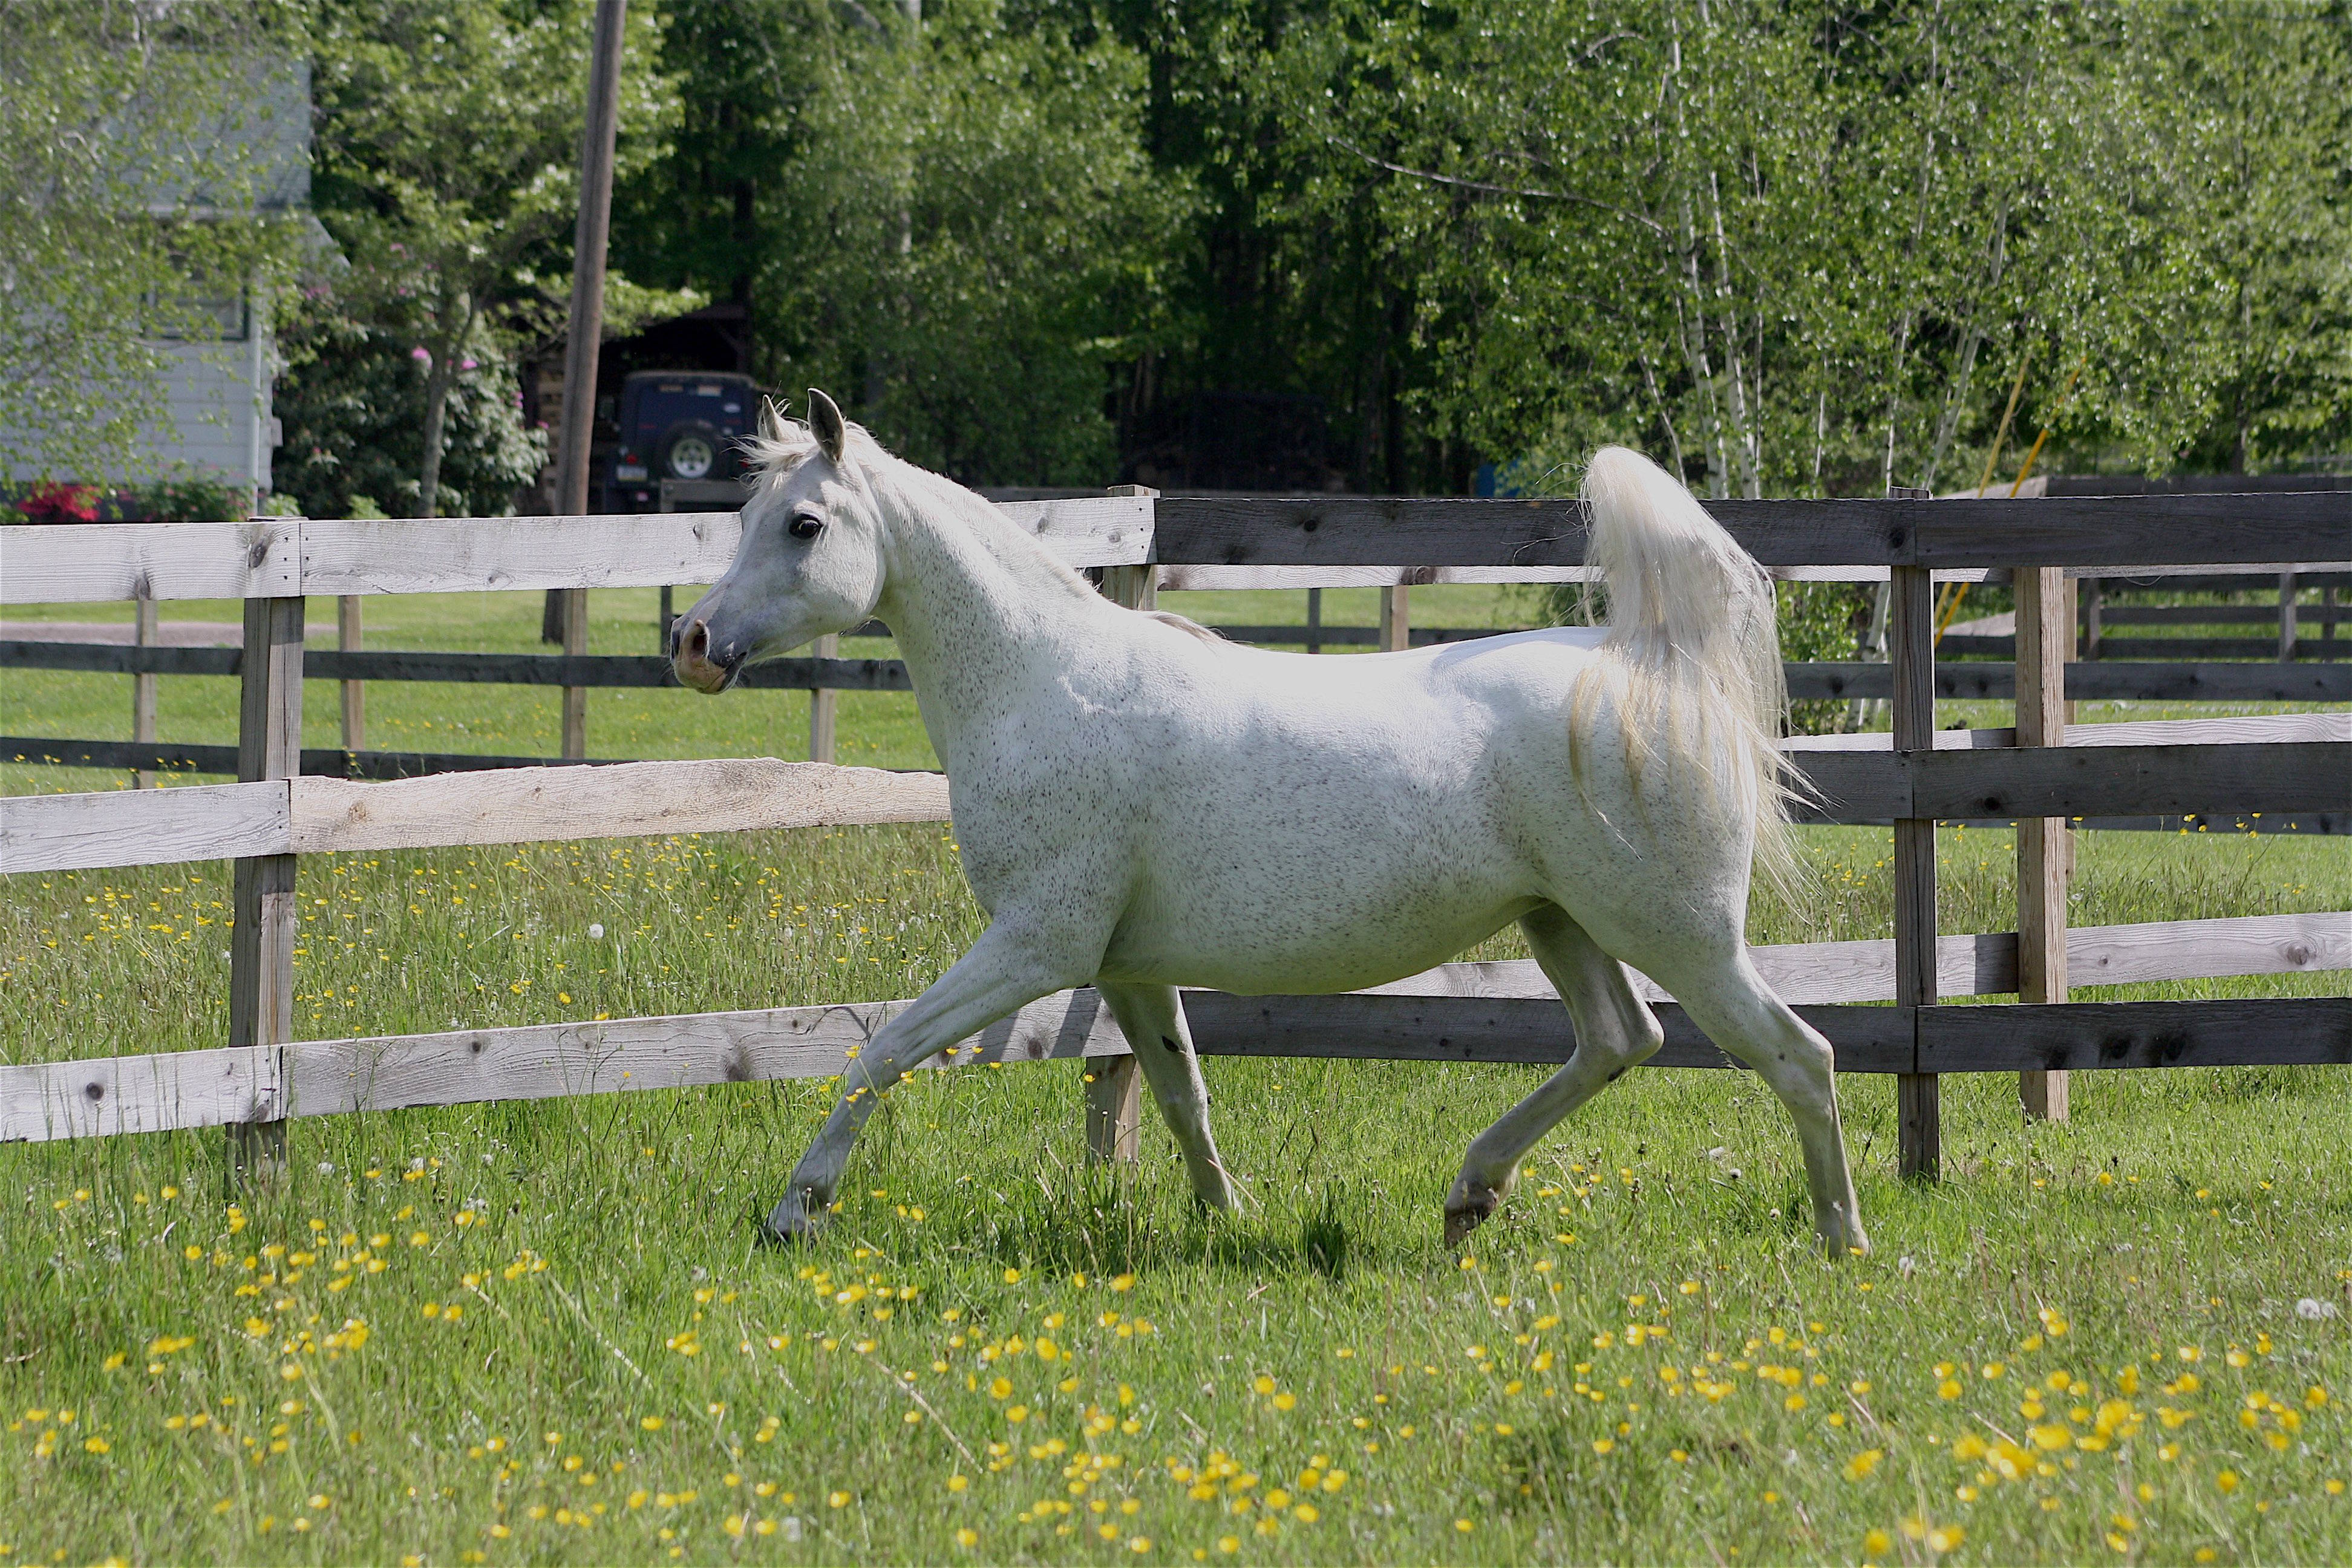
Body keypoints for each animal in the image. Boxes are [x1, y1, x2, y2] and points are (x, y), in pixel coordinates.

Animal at [673, 389, 1869, 1257]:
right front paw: (1227, 1221)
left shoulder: (1037, 945)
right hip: (1560, 921)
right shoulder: (1126, 968)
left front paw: (793, 1211)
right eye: (742, 518)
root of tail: (1658, 672)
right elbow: (1179, 1094)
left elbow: (880, 1054)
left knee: (1797, 1054)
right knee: (1621, 1041)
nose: (691, 642)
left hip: (1681, 934)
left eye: (804, 524)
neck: (1047, 683)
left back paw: (1840, 1241)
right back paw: (1469, 1195)